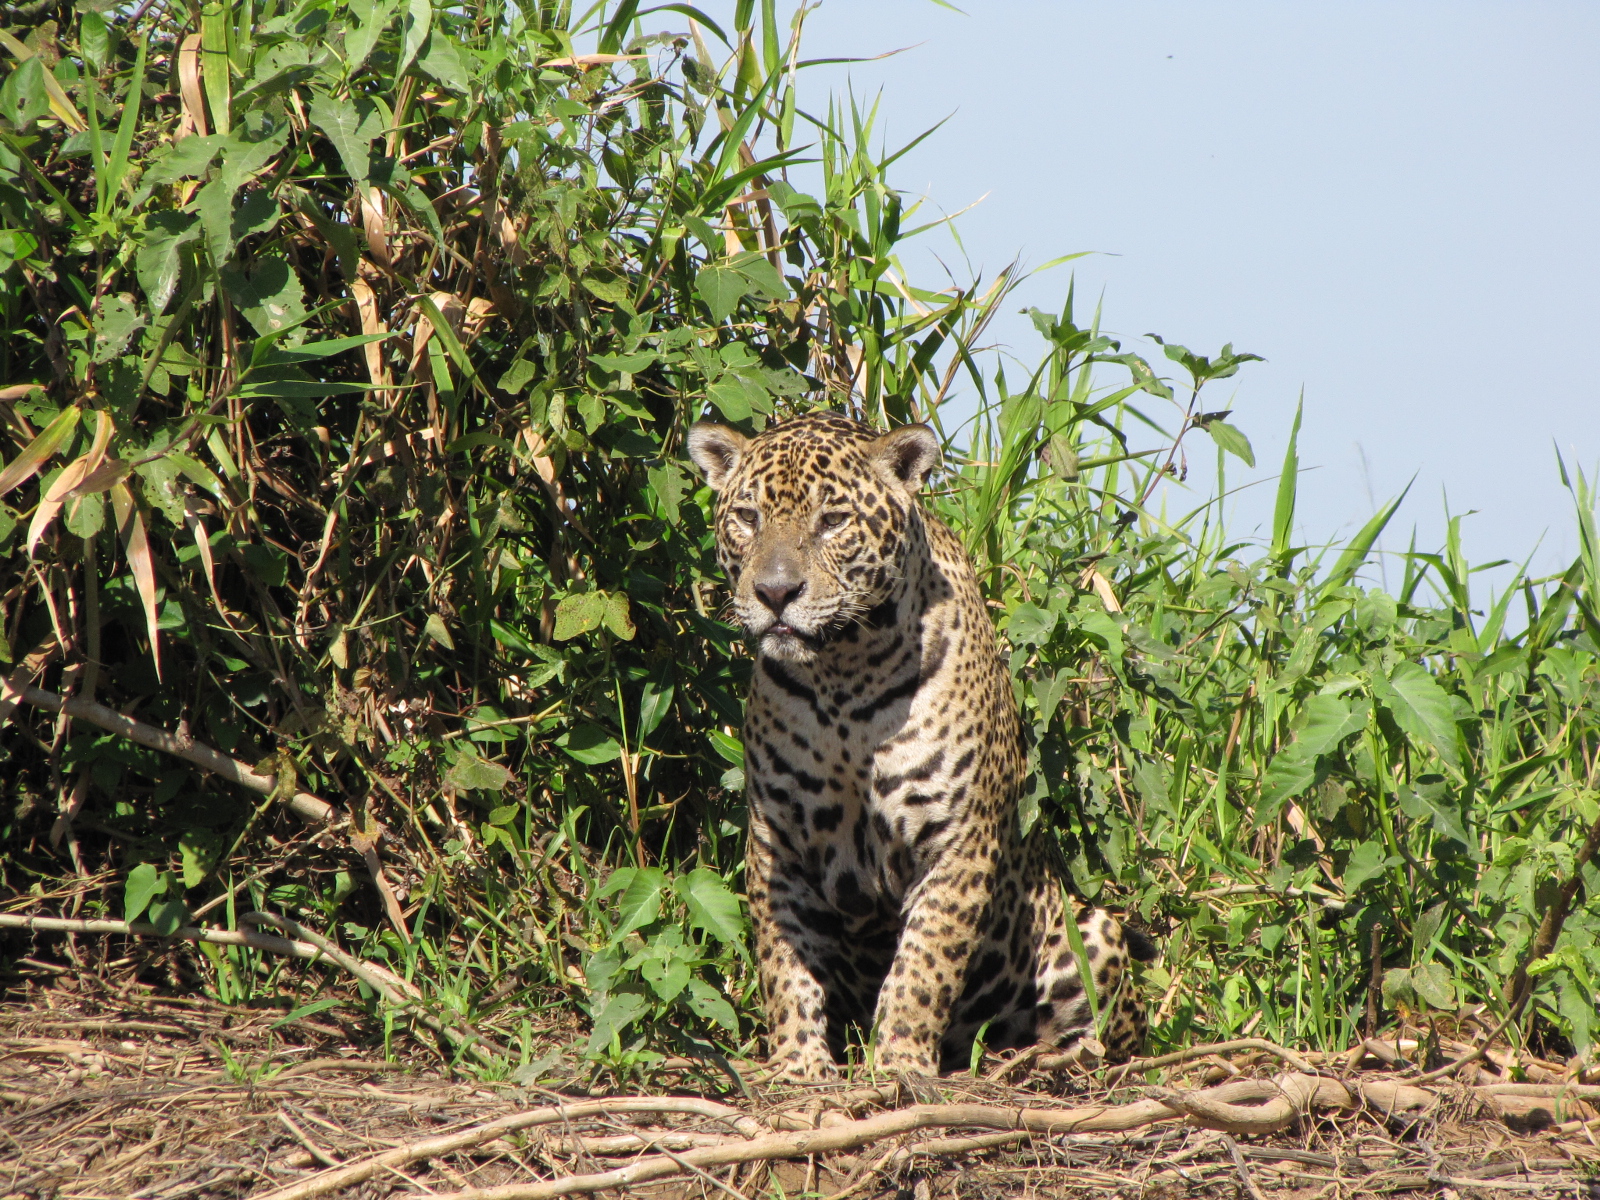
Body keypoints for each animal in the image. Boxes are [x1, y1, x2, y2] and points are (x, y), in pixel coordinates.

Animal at [687, 411, 1155, 1081]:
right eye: (748, 517)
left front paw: (899, 1062)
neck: (843, 676)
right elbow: (785, 964)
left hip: (1088, 932)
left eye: (833, 521)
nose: (775, 593)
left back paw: (1039, 1061)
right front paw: (799, 1064)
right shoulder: (779, 841)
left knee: (1109, 1031)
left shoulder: (957, 840)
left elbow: (923, 965)